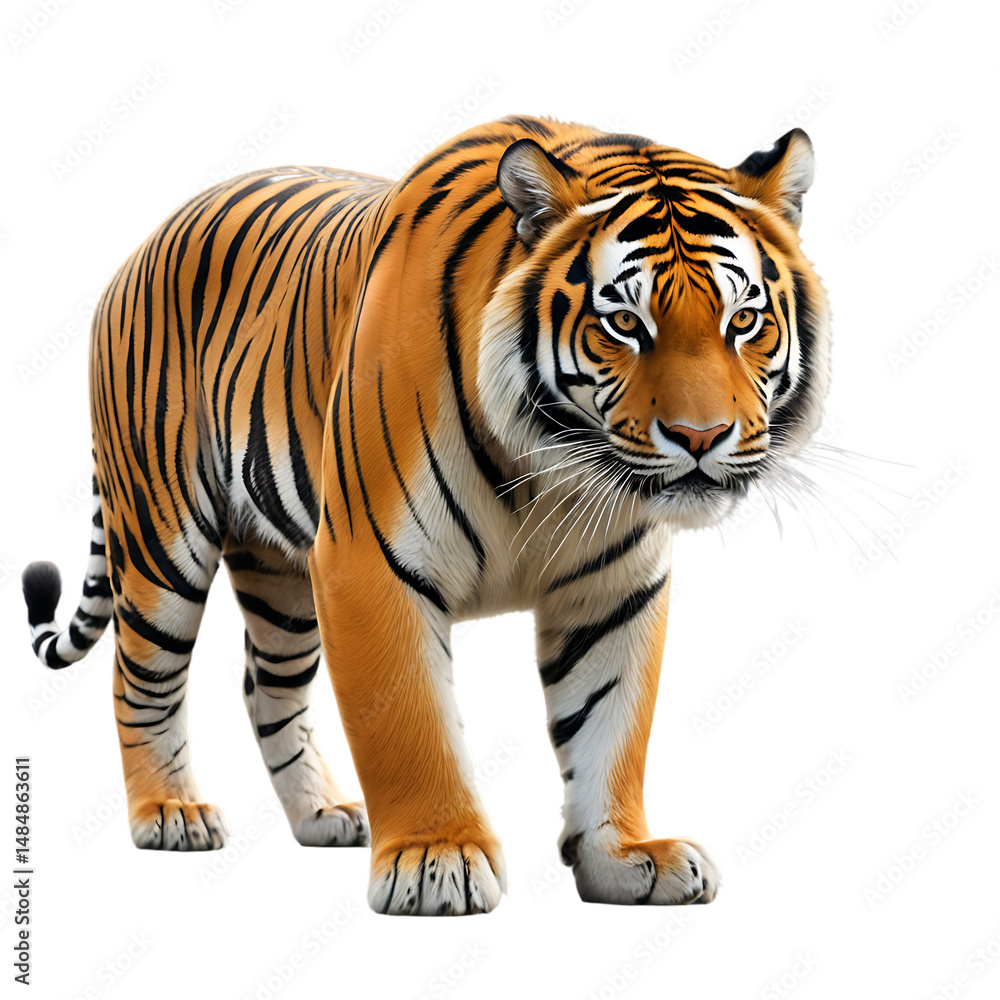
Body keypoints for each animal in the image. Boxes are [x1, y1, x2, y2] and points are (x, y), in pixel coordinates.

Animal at [22, 114, 830, 915]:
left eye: (745, 319)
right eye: (625, 324)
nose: (701, 437)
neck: (554, 469)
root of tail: (147, 239)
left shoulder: (614, 586)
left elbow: (610, 725)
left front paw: (625, 857)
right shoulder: (366, 566)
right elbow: (409, 724)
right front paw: (434, 859)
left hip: (281, 579)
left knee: (265, 688)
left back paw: (322, 813)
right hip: (161, 538)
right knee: (140, 678)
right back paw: (170, 814)